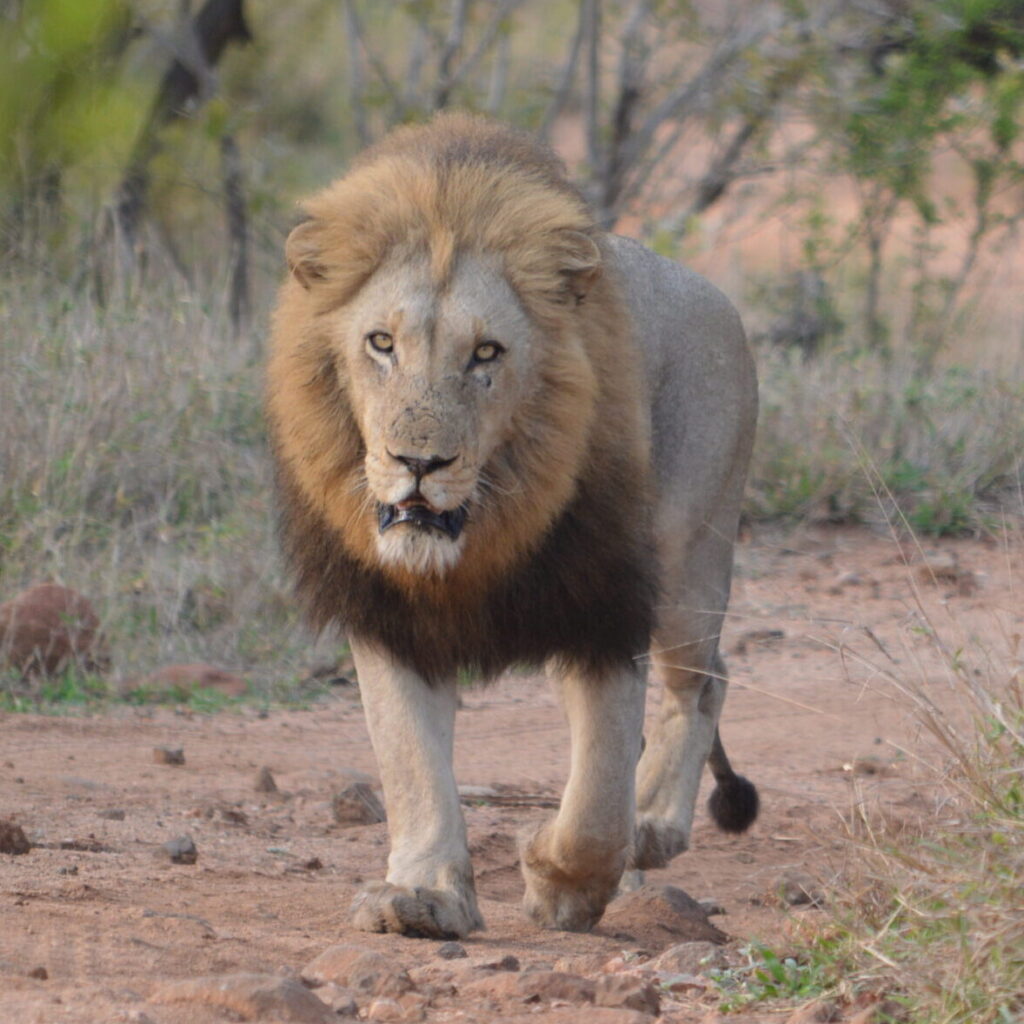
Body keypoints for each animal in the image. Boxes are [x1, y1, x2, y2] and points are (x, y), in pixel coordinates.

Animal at [266, 113, 759, 939]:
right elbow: (412, 762)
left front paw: (561, 881)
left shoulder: (603, 605)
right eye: (381, 343)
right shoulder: (390, 612)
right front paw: (424, 895)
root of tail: (712, 290)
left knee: (703, 683)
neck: (476, 540)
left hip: (690, 564)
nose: (419, 461)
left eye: (486, 353)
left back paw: (656, 825)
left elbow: (596, 800)